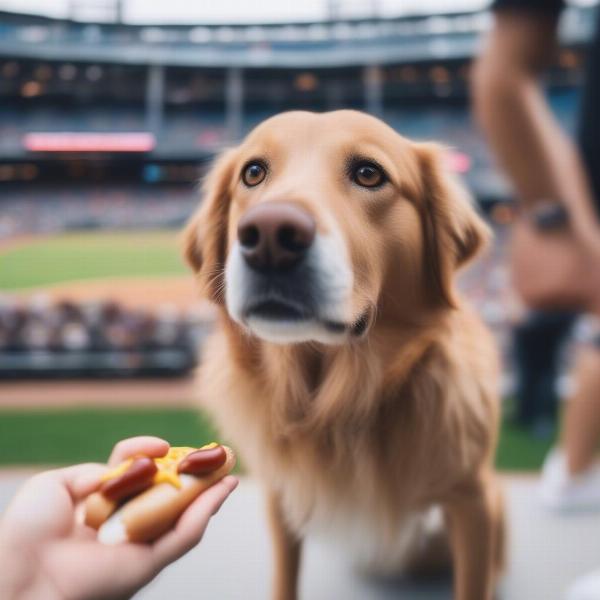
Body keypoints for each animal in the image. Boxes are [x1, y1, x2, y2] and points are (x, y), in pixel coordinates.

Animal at [184, 110, 506, 596]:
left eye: (369, 173)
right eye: (253, 172)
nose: (270, 235)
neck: (335, 403)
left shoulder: (473, 498)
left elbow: (473, 580)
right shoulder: (283, 494)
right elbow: (285, 576)